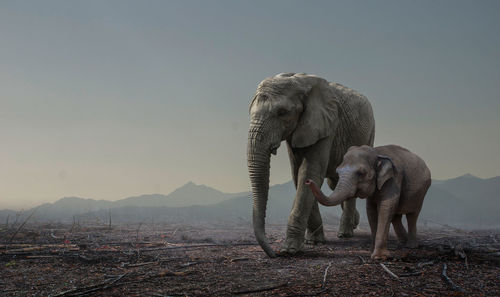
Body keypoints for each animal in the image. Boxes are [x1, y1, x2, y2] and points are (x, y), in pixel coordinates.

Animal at [248, 72, 374, 256]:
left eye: (282, 112)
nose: (274, 254)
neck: (299, 81)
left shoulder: (326, 124)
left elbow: (309, 172)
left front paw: (290, 250)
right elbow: (298, 174)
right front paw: (313, 242)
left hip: (369, 134)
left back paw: (345, 234)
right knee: (334, 182)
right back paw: (353, 224)